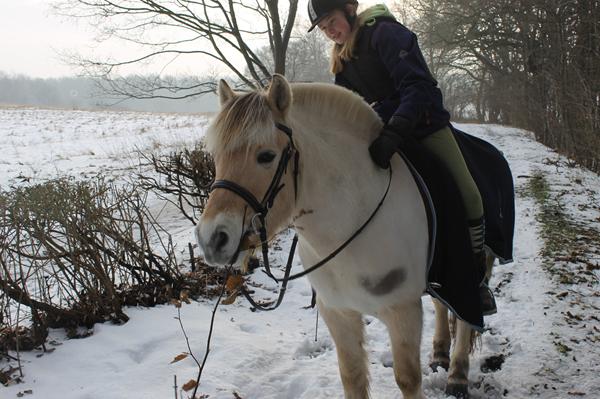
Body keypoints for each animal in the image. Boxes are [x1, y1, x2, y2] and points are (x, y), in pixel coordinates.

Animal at [197, 73, 488, 398]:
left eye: (266, 156)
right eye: (216, 157)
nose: (212, 238)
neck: (351, 223)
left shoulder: (403, 311)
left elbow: (408, 379)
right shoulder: (338, 313)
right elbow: (353, 377)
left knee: (466, 314)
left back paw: (458, 374)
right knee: (441, 304)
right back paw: (439, 353)